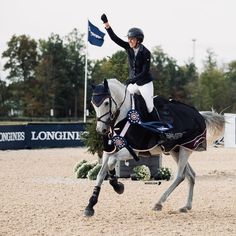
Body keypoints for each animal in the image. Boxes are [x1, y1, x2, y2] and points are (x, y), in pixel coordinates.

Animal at [84, 78, 225, 217]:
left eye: (106, 103)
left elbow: (112, 162)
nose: (101, 130)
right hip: (176, 150)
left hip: (186, 149)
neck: (123, 117)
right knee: (190, 175)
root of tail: (199, 114)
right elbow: (101, 174)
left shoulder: (132, 151)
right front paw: (90, 205)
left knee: (180, 176)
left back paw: (158, 203)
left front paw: (118, 186)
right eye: (93, 103)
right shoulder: (110, 150)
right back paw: (186, 206)